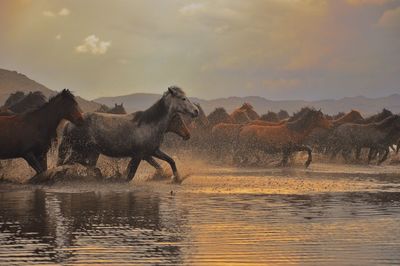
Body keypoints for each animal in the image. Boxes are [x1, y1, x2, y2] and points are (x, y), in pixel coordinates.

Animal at [56, 87, 198, 183]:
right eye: (183, 98)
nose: (196, 111)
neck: (150, 124)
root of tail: (69, 123)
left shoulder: (152, 151)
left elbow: (170, 161)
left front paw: (177, 178)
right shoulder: (140, 155)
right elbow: (130, 175)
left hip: (91, 152)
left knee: (80, 164)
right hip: (81, 150)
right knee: (71, 163)